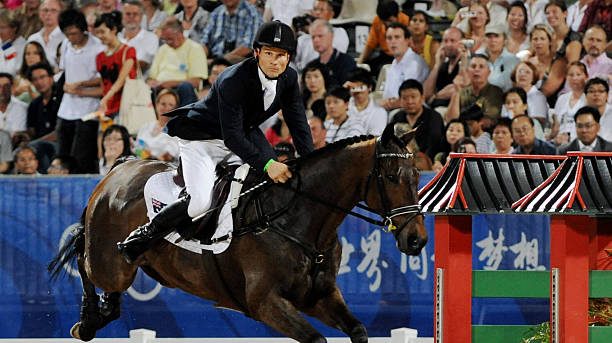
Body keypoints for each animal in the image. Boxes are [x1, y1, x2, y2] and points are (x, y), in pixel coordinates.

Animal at [49, 124, 426, 343]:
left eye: (416, 175)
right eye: (391, 176)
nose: (417, 239)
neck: (300, 218)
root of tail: (118, 169)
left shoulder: (318, 296)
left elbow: (358, 331)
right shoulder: (265, 302)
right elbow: (316, 339)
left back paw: (105, 311)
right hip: (111, 263)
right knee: (86, 263)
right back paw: (88, 321)